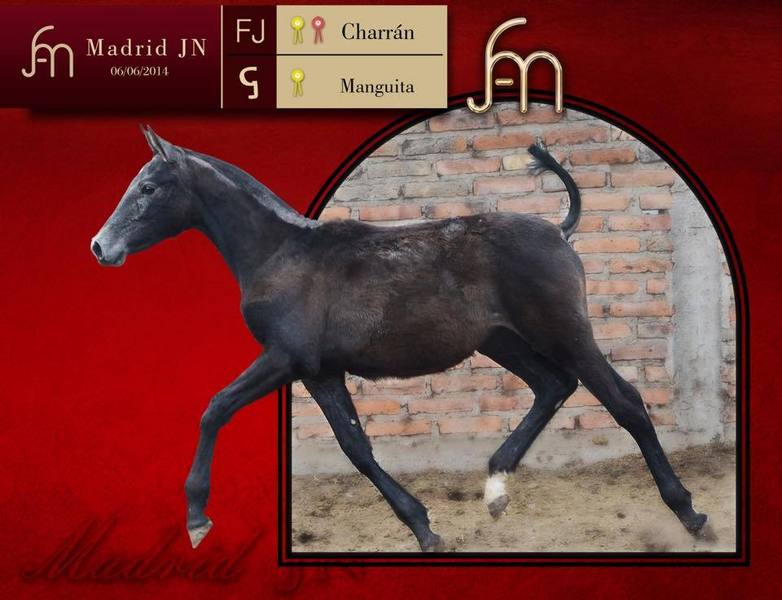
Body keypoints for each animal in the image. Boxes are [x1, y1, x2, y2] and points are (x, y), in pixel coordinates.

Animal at [90, 125, 708, 551]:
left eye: (149, 187)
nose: (101, 247)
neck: (280, 255)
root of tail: (559, 229)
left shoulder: (285, 358)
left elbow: (215, 408)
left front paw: (196, 518)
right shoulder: (319, 371)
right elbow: (356, 448)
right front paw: (424, 527)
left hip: (562, 332)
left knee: (623, 400)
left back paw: (690, 514)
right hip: (501, 341)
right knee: (554, 386)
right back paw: (495, 488)